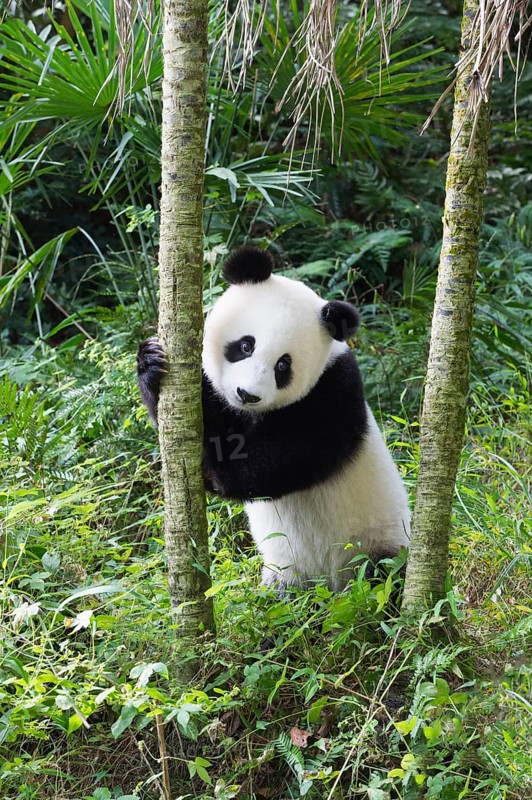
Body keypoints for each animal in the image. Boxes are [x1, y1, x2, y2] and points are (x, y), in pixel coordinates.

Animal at [137, 246, 410, 591]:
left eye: (283, 365)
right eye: (245, 345)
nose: (247, 394)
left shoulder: (336, 387)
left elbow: (293, 455)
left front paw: (214, 473)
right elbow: (210, 422)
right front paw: (150, 363)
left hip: (378, 543)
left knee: (382, 577)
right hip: (285, 569)